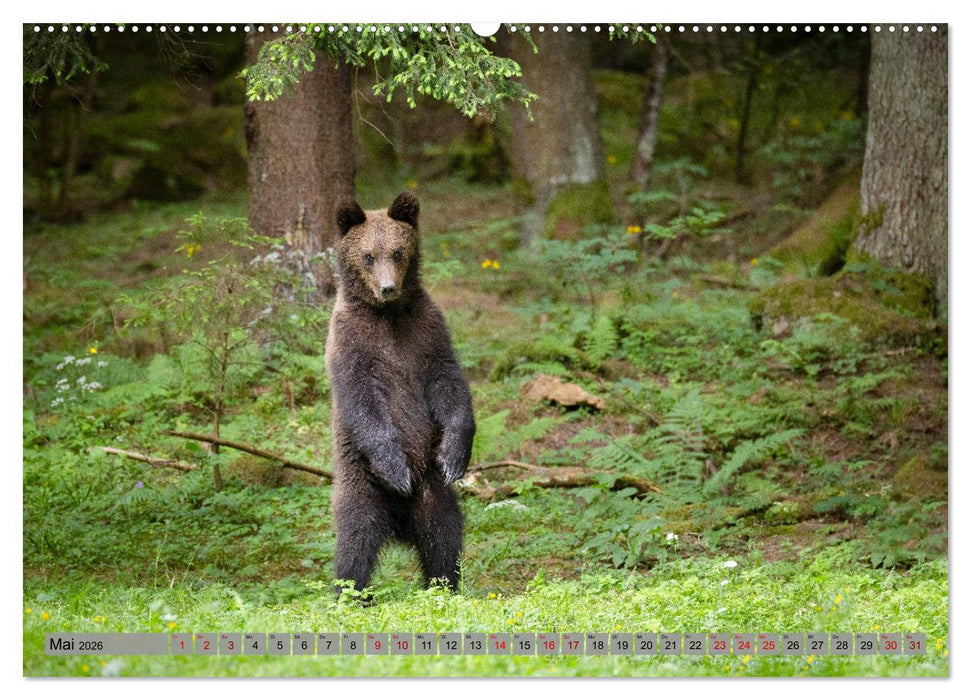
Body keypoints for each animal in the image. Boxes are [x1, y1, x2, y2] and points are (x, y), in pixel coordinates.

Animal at [326, 191, 475, 596]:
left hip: (433, 492)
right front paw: (396, 469)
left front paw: (454, 456)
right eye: (367, 255)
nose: (388, 288)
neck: (388, 315)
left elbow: (450, 385)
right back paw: (351, 594)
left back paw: (444, 585)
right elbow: (363, 402)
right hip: (361, 483)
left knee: (444, 535)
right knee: (356, 540)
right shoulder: (351, 345)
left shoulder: (427, 334)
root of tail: (398, 526)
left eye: (397, 251)